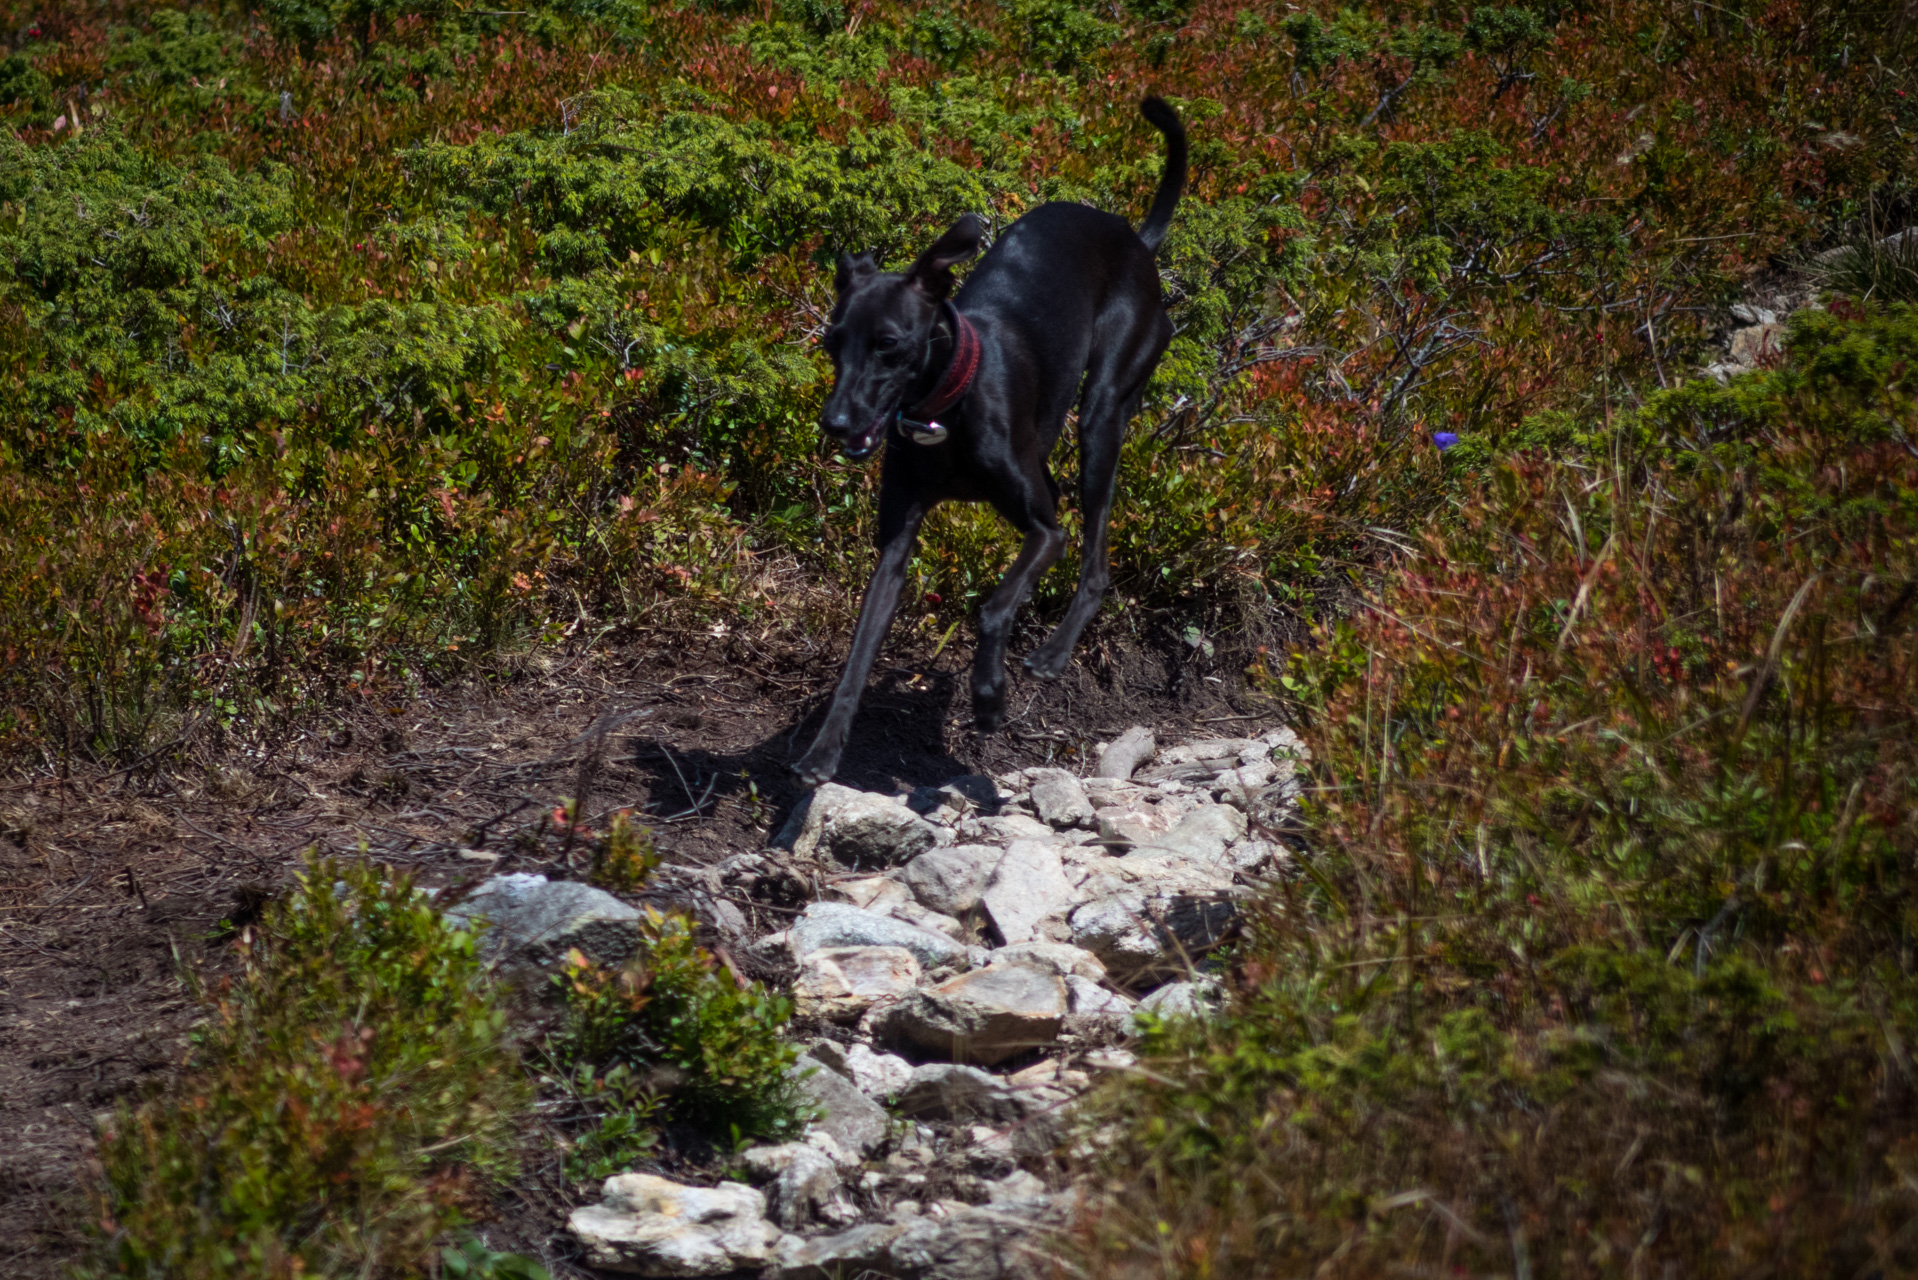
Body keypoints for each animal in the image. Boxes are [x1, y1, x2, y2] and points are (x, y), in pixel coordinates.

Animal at [790, 94, 1181, 786]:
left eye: (888, 344)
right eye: (832, 343)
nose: (835, 423)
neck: (943, 410)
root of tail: (1136, 239)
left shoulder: (1044, 531)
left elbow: (994, 605)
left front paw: (989, 697)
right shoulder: (895, 549)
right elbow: (859, 654)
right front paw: (824, 750)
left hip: (1103, 414)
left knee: (1096, 560)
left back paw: (1053, 653)